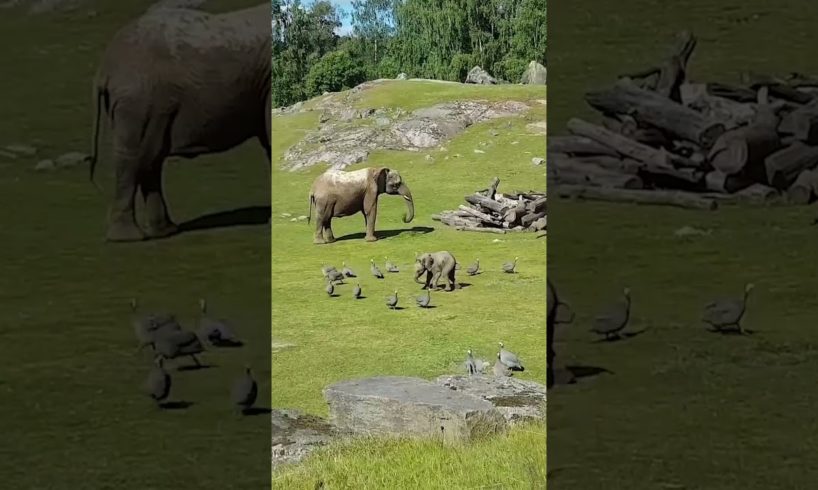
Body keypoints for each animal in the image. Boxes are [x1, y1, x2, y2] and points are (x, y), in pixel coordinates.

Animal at [87, 3, 270, 241]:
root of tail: (104, 68)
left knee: (150, 159)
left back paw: (163, 231)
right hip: (140, 100)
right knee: (136, 158)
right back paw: (129, 237)